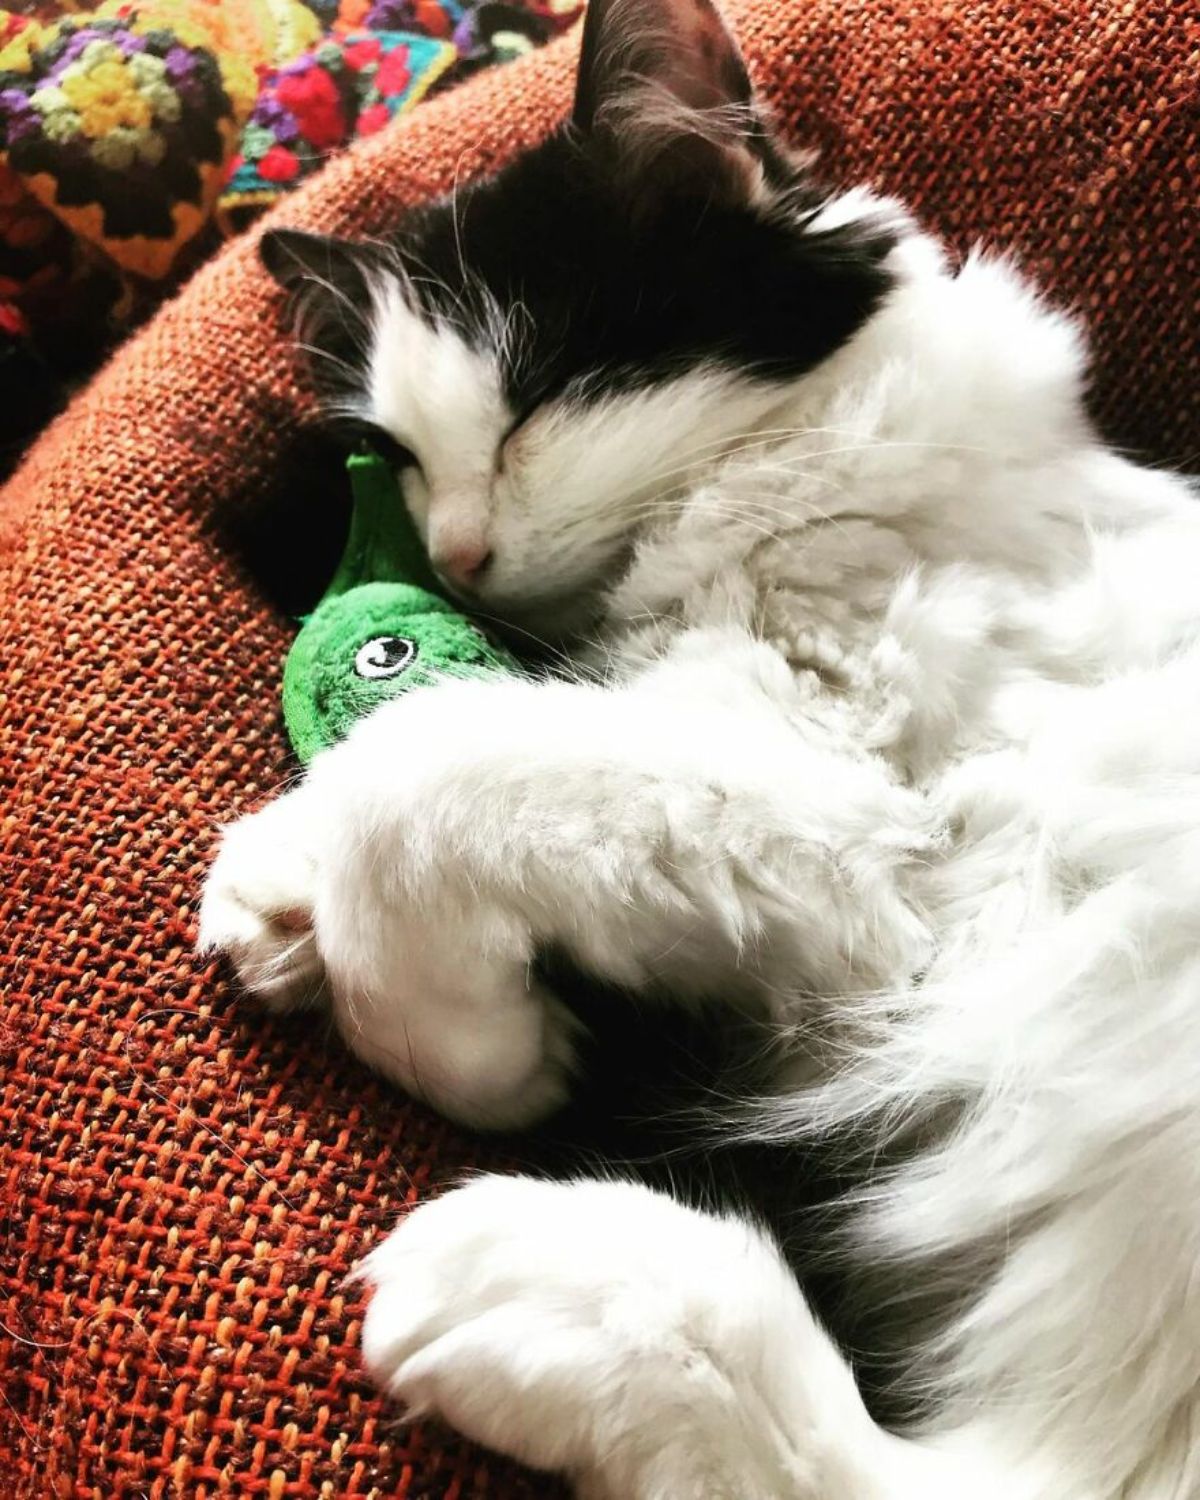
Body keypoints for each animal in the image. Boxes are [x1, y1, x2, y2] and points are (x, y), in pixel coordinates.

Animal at [196, 5, 1200, 1494]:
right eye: (406, 459)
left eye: (536, 398)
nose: (457, 558)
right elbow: (462, 730)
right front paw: (276, 893)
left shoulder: (875, 845)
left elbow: (423, 763)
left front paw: (471, 1046)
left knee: (929, 1470)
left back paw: (540, 1285)